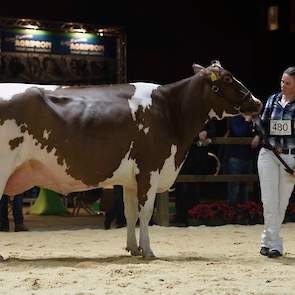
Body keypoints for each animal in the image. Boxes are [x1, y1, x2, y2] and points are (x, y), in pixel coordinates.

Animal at [0, 61, 262, 256]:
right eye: (227, 78)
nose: (257, 102)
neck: (170, 110)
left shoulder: (130, 180)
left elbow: (130, 213)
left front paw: (133, 248)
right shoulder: (150, 170)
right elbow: (145, 213)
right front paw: (148, 250)